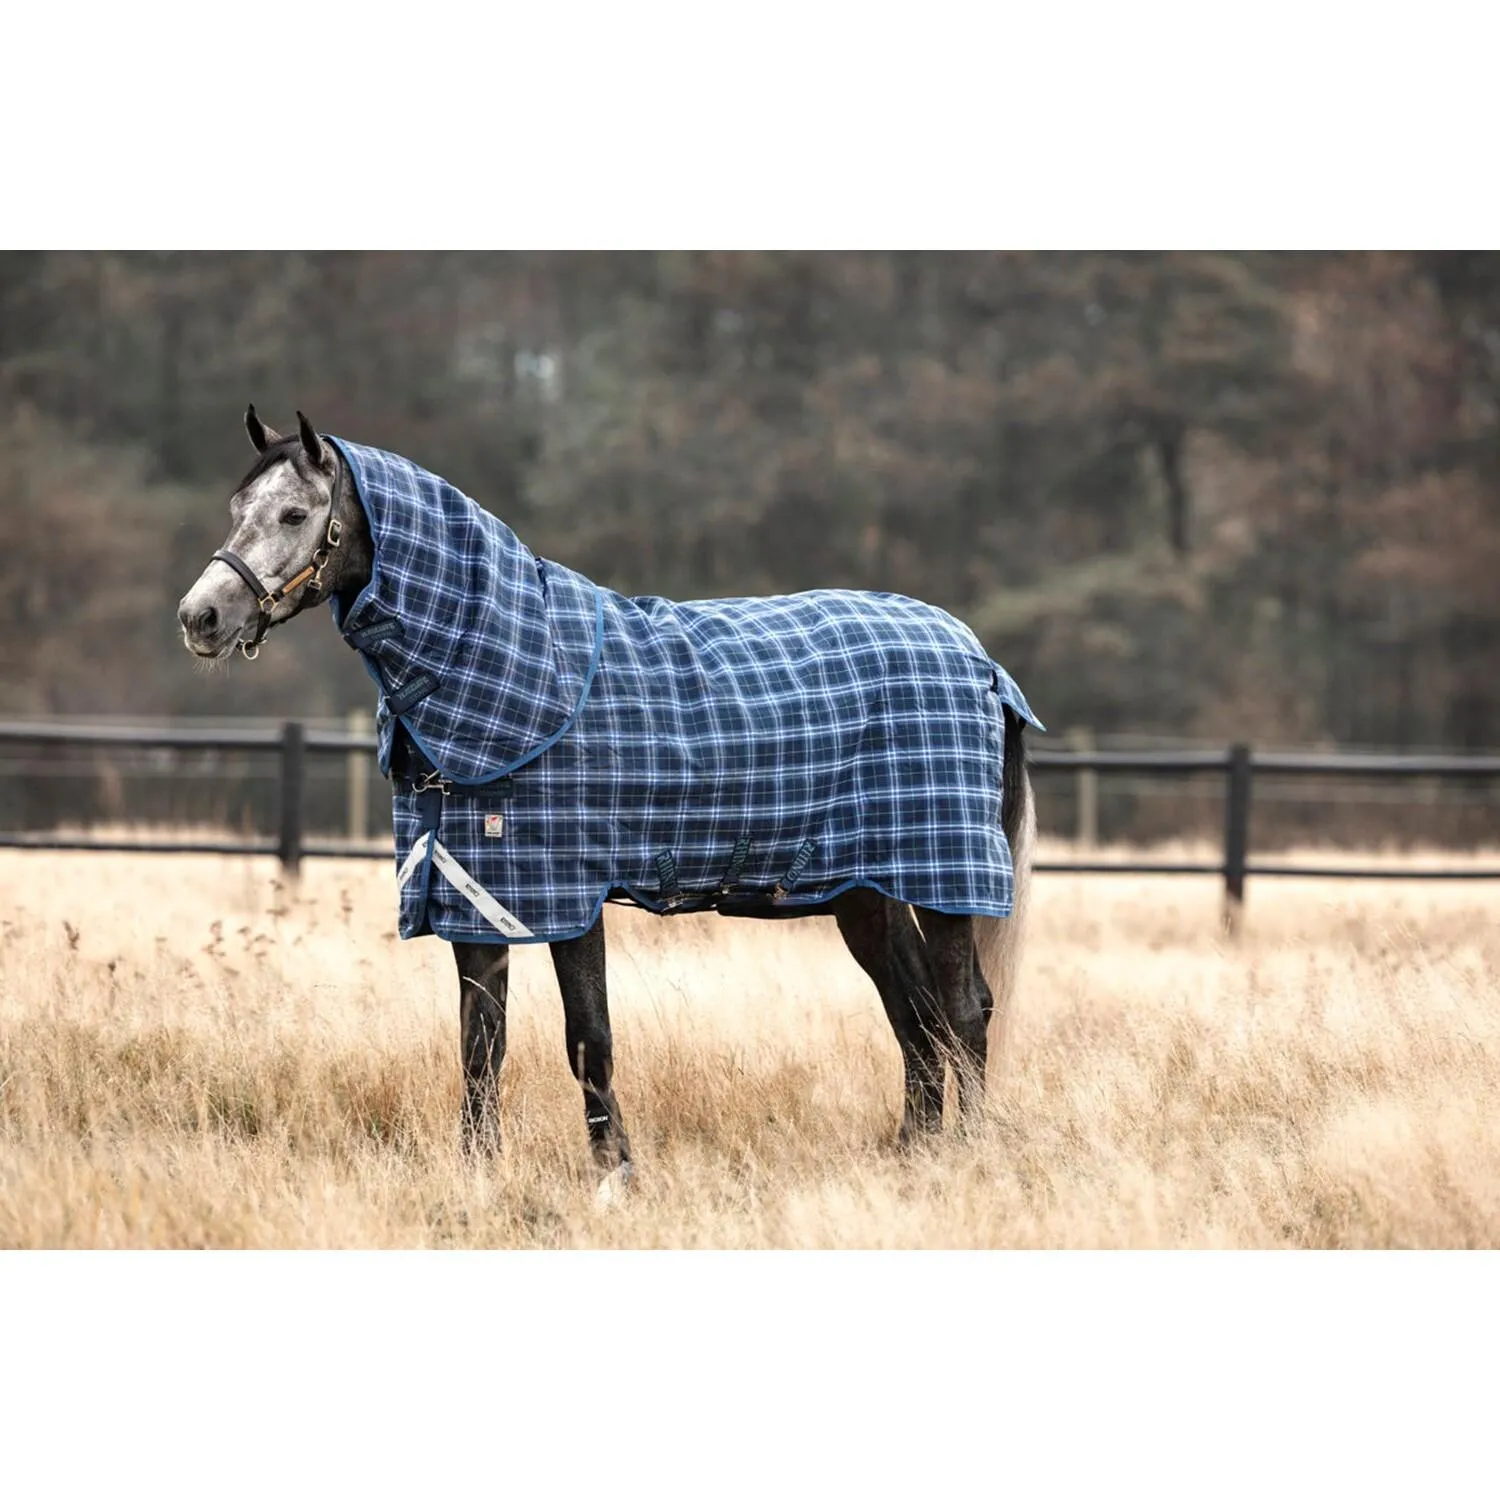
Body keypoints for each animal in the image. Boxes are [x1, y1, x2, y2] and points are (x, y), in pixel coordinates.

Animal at [177, 408, 1041, 1193]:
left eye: (295, 515)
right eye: (236, 507)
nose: (201, 617)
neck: (515, 669)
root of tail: (980, 662)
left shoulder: (570, 897)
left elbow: (587, 1037)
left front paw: (614, 1173)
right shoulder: (476, 896)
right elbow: (480, 1044)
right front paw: (478, 1173)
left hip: (943, 876)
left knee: (964, 1011)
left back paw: (967, 1157)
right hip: (869, 890)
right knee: (917, 1017)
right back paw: (913, 1157)